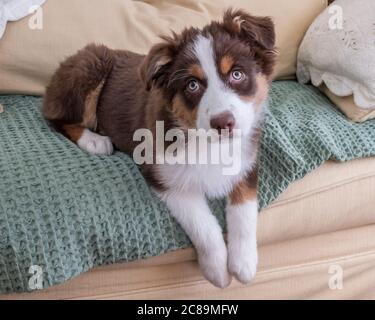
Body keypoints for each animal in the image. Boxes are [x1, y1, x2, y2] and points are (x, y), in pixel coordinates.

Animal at [43, 9, 276, 288]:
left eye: (237, 75)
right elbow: (204, 225)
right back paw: (94, 140)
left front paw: (244, 263)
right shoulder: (165, 177)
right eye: (192, 85)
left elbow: (245, 211)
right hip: (91, 65)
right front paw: (218, 270)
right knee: (55, 117)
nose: (223, 124)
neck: (205, 143)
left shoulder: (247, 162)